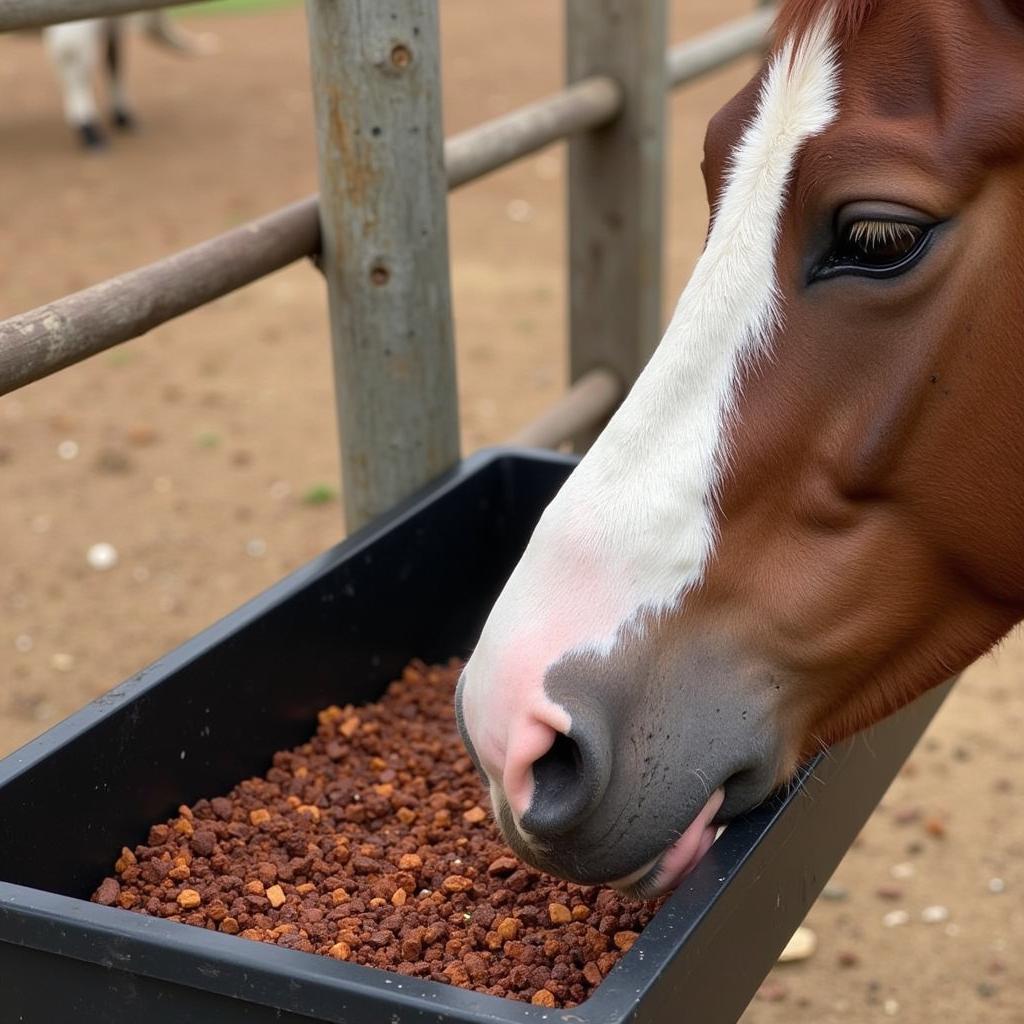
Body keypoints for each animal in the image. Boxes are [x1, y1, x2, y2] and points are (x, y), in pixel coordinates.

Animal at [43, 11, 216, 149]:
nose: (211, 41)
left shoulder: (110, 26)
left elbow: (114, 61)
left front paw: (123, 117)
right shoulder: (73, 30)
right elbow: (76, 67)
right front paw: (89, 130)